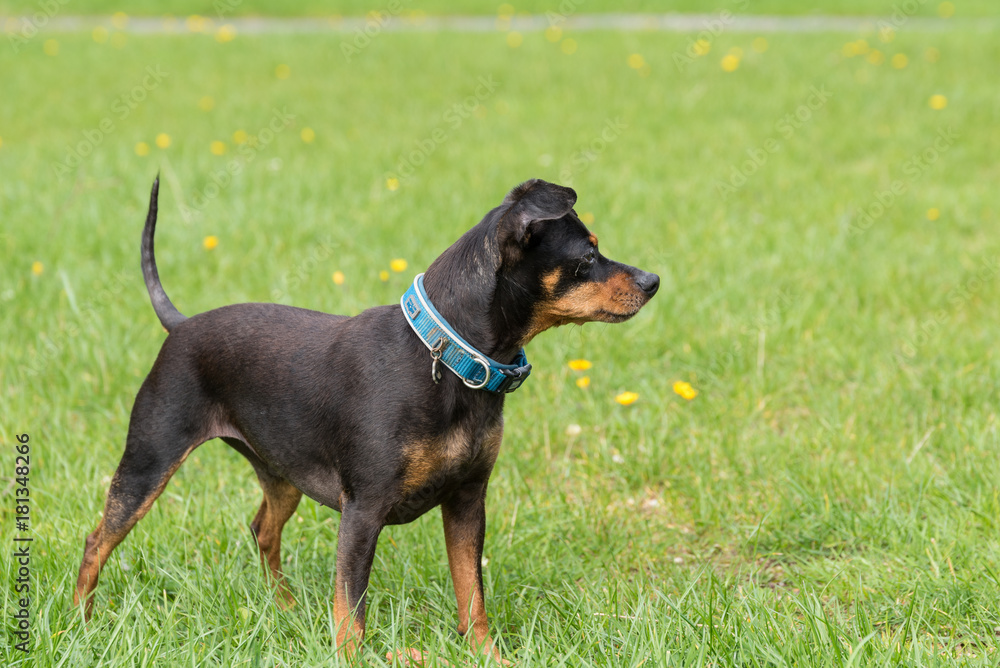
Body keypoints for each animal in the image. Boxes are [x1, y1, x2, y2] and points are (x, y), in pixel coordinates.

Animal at [76, 177, 656, 664]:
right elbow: (349, 612)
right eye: (588, 255)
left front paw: (491, 657)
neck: (449, 359)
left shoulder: (469, 501)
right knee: (96, 540)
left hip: (281, 473)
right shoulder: (363, 512)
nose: (652, 279)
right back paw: (80, 625)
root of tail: (181, 325)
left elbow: (472, 598)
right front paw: (354, 658)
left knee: (262, 529)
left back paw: (285, 610)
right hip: (149, 460)